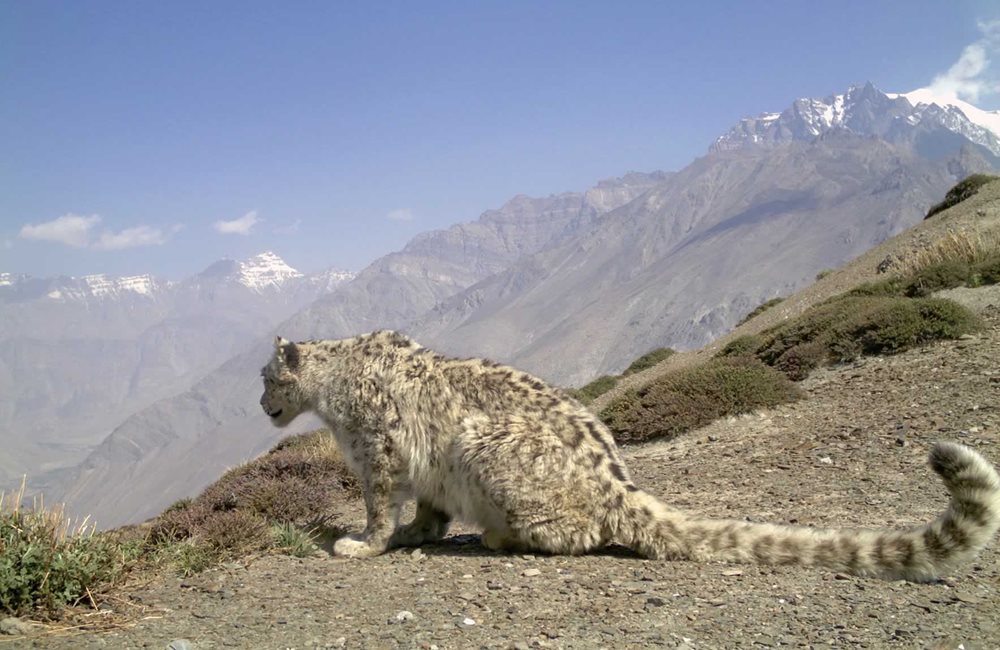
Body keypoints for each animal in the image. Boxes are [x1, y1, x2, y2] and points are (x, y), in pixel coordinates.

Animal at [262, 330, 1000, 576]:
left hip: (481, 445)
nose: (261, 404)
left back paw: (502, 537)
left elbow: (380, 508)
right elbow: (429, 509)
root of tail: (616, 479)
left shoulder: (377, 455)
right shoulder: (423, 473)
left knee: (578, 534)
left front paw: (362, 543)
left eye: (267, 377)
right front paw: (419, 533)